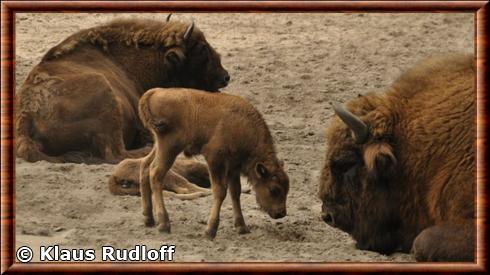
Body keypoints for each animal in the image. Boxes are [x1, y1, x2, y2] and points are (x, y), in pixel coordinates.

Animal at [138, 88, 290, 239]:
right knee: (156, 173)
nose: (281, 213)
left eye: (287, 188)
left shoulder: (233, 167)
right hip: (170, 147)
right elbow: (220, 191)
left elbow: (235, 192)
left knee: (145, 165)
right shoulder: (215, 159)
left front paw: (242, 227)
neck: (242, 125)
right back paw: (164, 224)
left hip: (160, 146)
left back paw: (149, 219)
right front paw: (210, 230)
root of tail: (155, 92)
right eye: (274, 189)